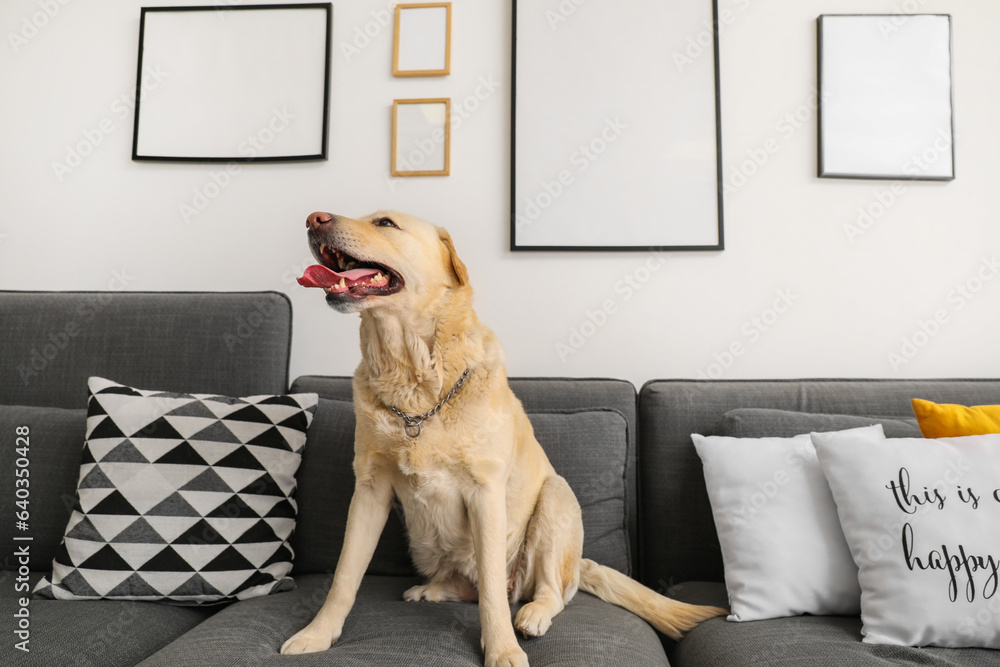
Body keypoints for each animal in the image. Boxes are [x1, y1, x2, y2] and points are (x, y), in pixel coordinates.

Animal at [282, 211, 728, 664]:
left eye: (385, 223)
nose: (314, 218)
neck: (414, 384)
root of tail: (580, 564)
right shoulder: (369, 491)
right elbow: (344, 576)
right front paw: (317, 634)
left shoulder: (485, 493)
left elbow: (493, 593)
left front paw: (502, 649)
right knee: (467, 587)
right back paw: (431, 590)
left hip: (555, 499)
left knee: (548, 592)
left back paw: (532, 614)